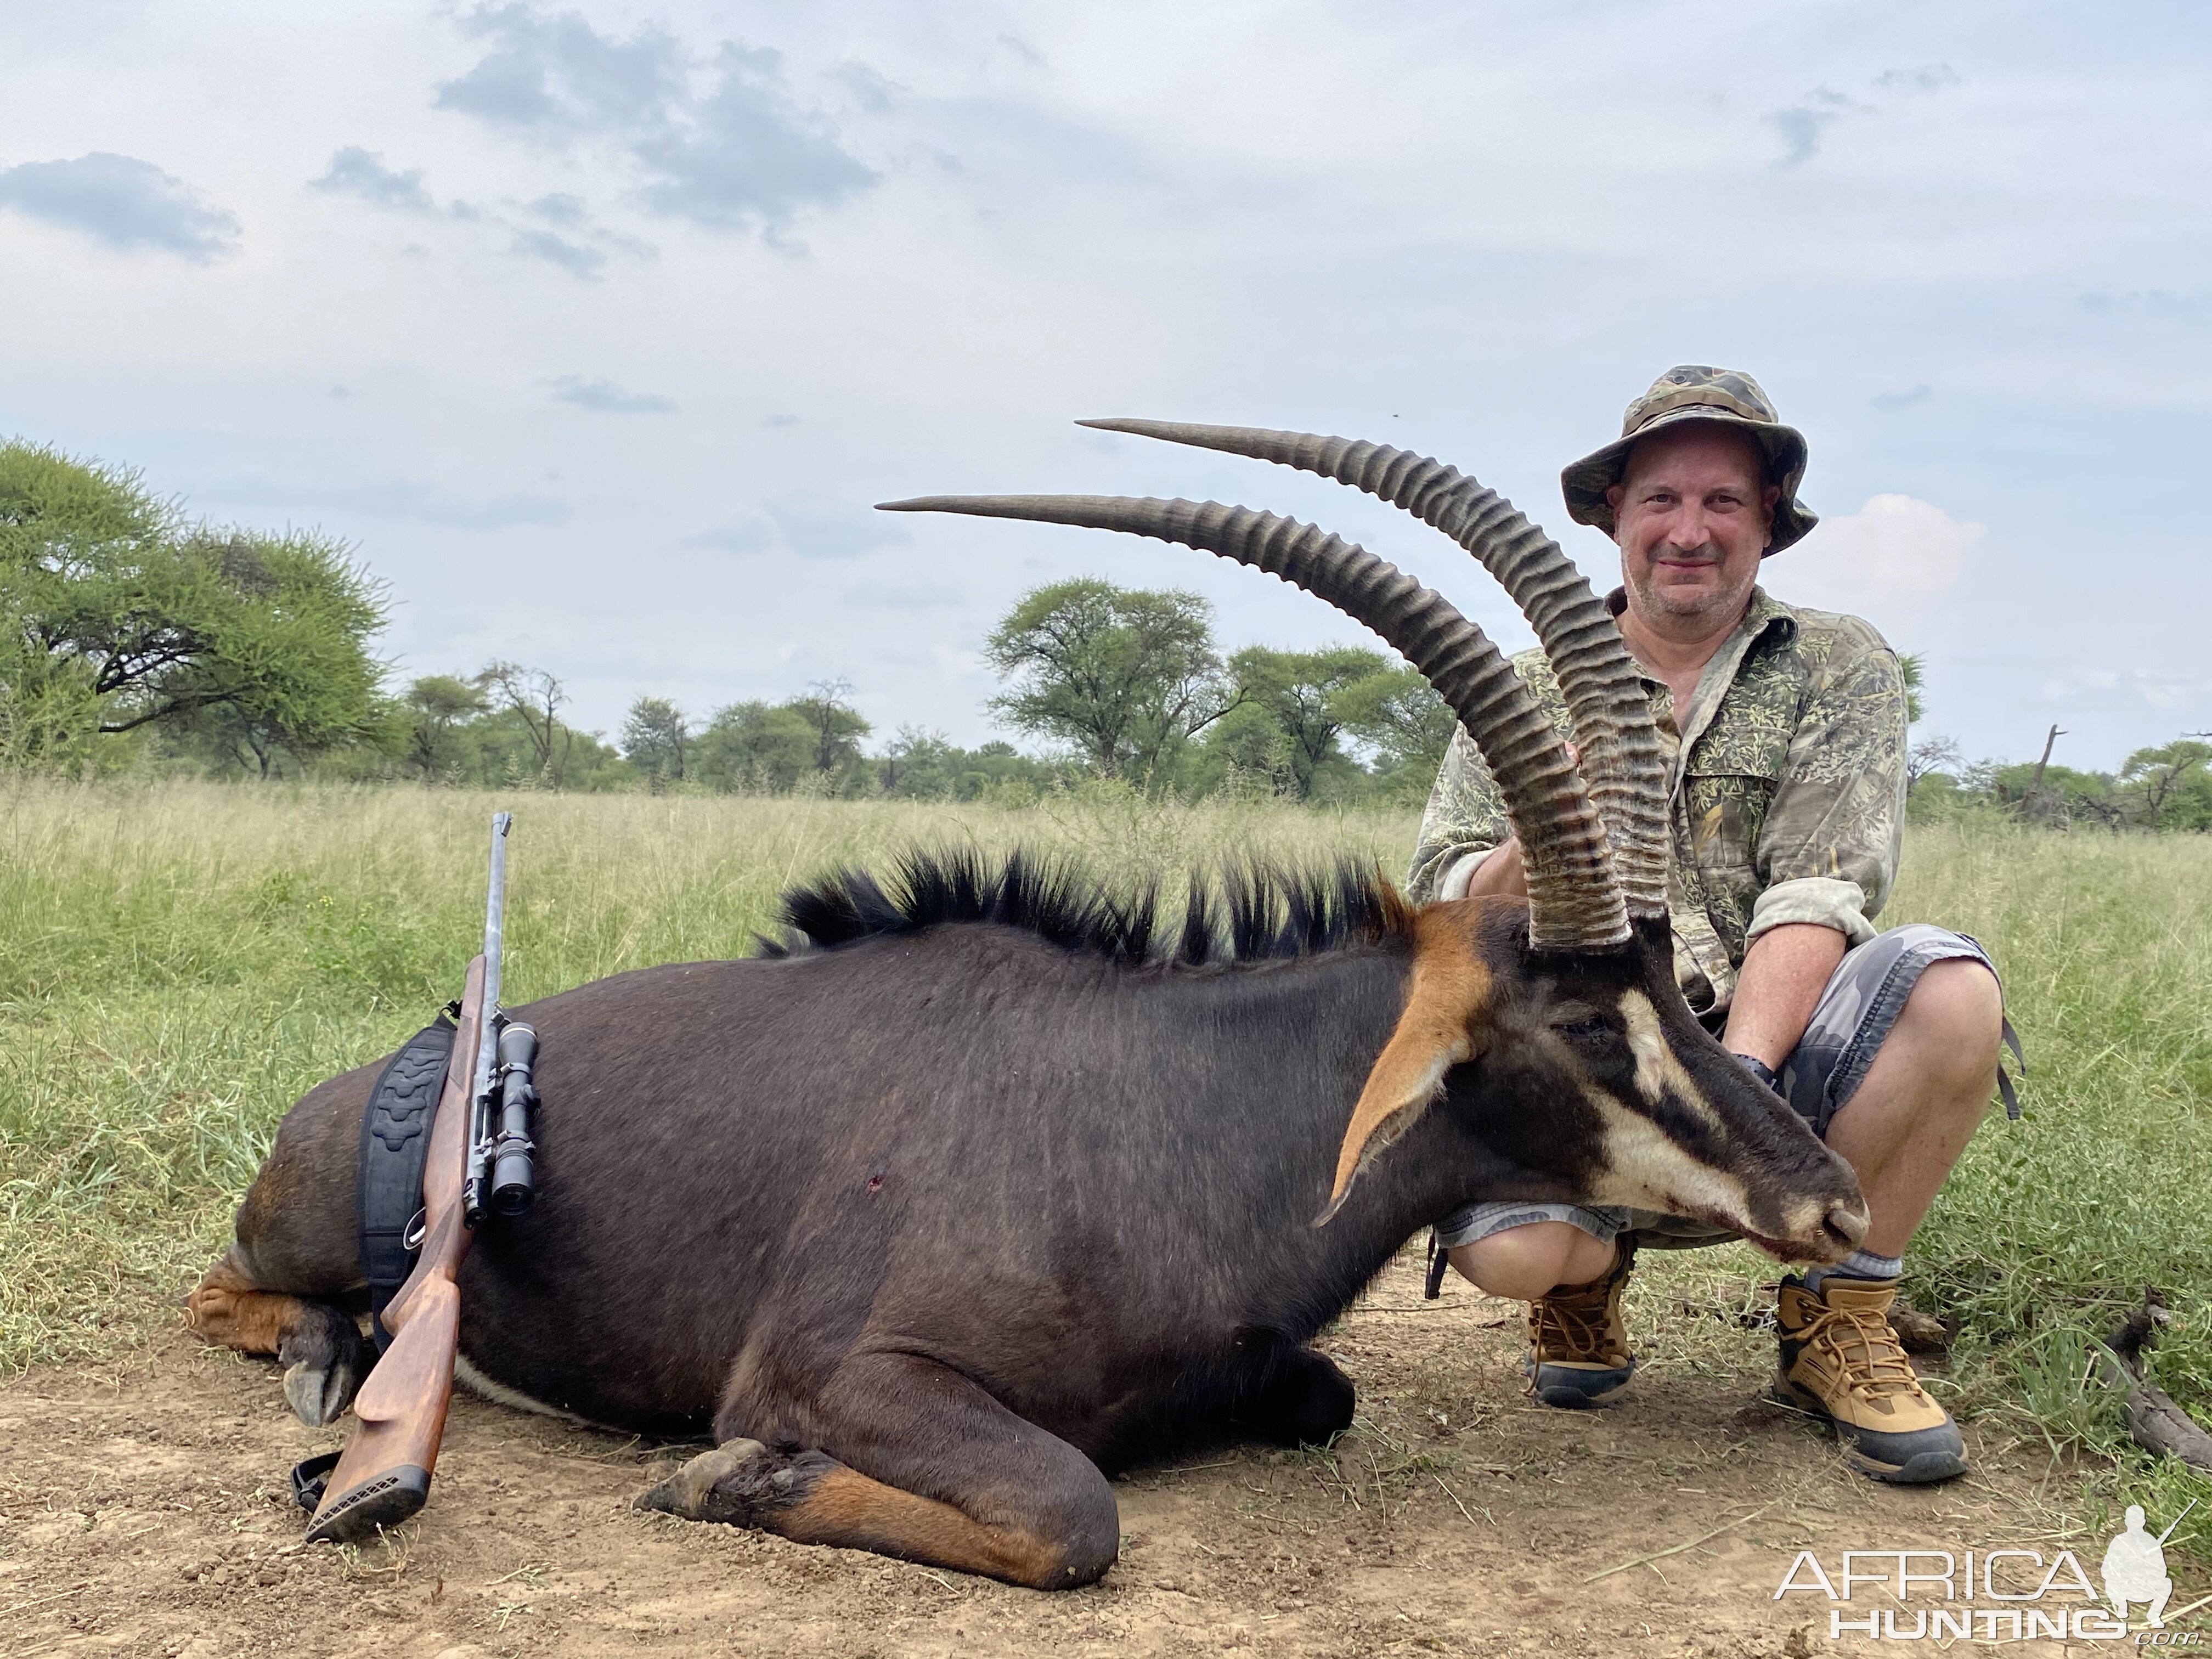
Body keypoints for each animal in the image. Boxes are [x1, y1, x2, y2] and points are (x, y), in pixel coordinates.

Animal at [194, 429, 1867, 1601]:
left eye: (1685, 989)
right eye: (1585, 1024)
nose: (1834, 1201)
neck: (1182, 1121)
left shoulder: (1265, 1360)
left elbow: (1321, 1397)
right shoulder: (841, 1376)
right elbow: (1075, 1512)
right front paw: (723, 1481)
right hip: (295, 1234)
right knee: (228, 1296)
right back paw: (330, 1362)